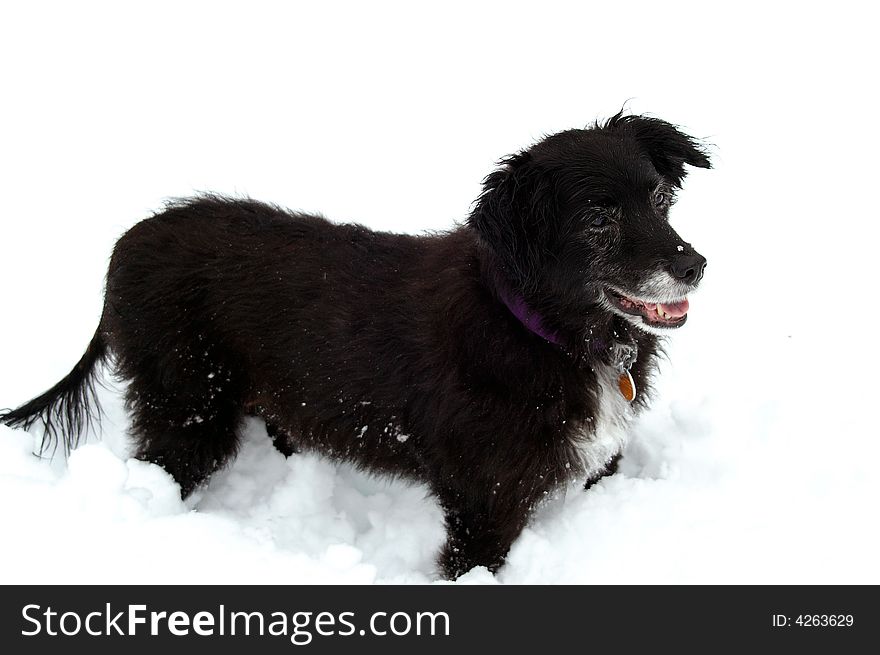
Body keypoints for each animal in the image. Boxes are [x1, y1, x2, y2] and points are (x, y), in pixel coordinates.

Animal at [1, 114, 708, 580]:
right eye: (597, 221)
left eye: (660, 198)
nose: (695, 265)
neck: (546, 331)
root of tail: (127, 242)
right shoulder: (485, 495)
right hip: (187, 401)